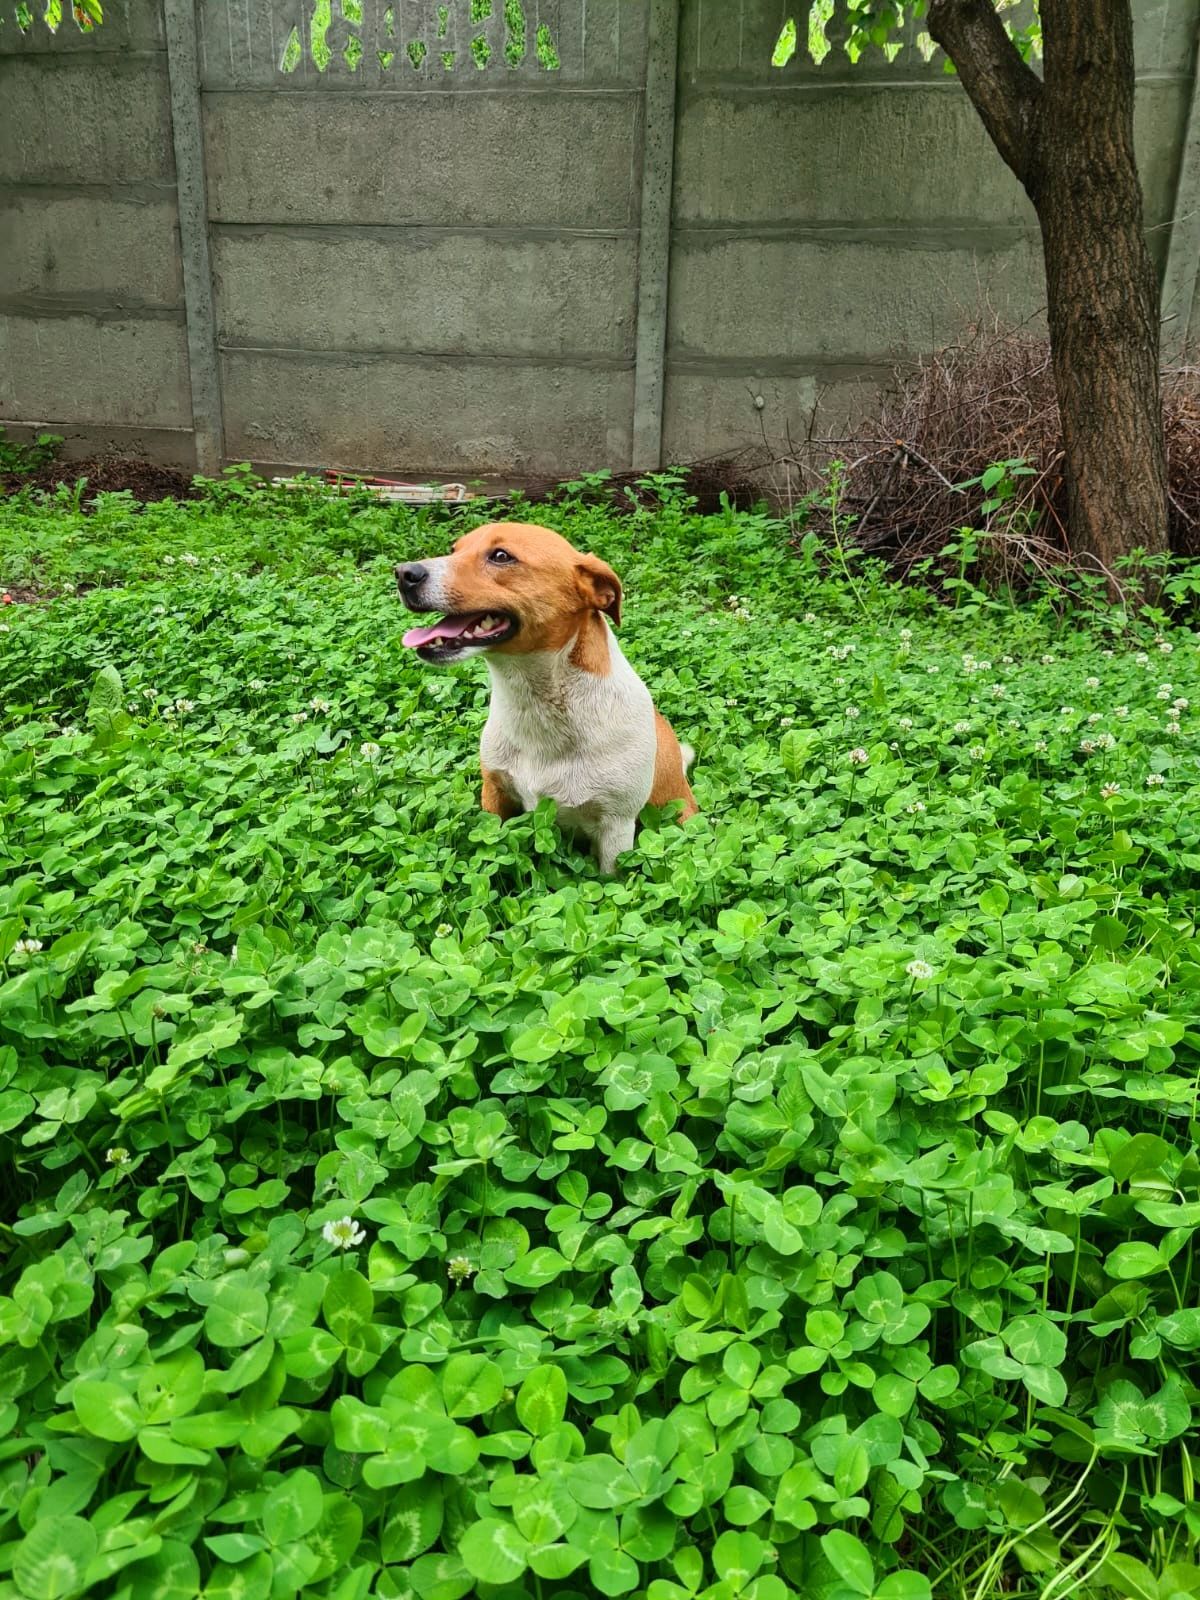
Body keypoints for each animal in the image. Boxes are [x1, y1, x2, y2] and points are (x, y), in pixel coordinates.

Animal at [396, 521, 694, 876]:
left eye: (501, 556)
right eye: (454, 549)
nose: (403, 572)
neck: (539, 704)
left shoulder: (616, 827)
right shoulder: (495, 794)